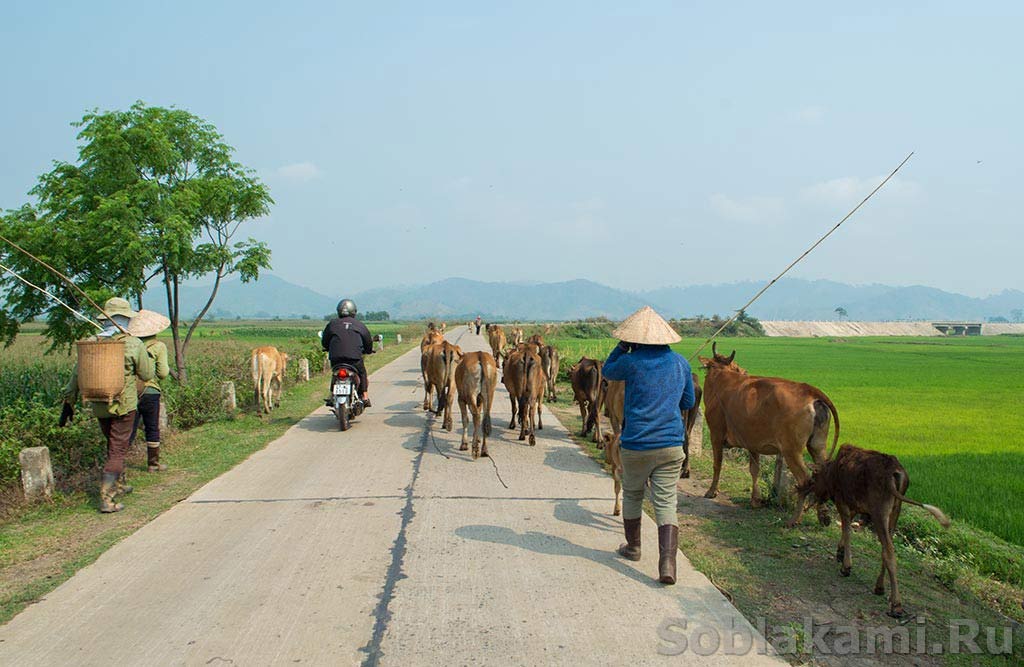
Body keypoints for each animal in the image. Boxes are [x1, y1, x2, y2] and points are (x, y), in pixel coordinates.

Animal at [704, 344, 839, 516]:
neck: (721, 379)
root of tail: (809, 391)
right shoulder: (752, 442)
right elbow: (755, 470)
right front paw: (756, 500)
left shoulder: (716, 434)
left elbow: (717, 464)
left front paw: (711, 491)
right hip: (817, 446)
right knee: (822, 475)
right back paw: (822, 514)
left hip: (791, 450)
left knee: (805, 481)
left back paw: (796, 518)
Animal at [790, 446, 950, 618]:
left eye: (814, 477)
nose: (812, 491)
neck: (830, 474)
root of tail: (897, 474)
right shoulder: (855, 505)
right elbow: (847, 527)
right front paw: (840, 552)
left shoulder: (841, 499)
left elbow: (846, 529)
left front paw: (846, 566)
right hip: (895, 511)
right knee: (887, 548)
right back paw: (880, 587)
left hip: (879, 511)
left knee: (888, 551)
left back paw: (896, 605)